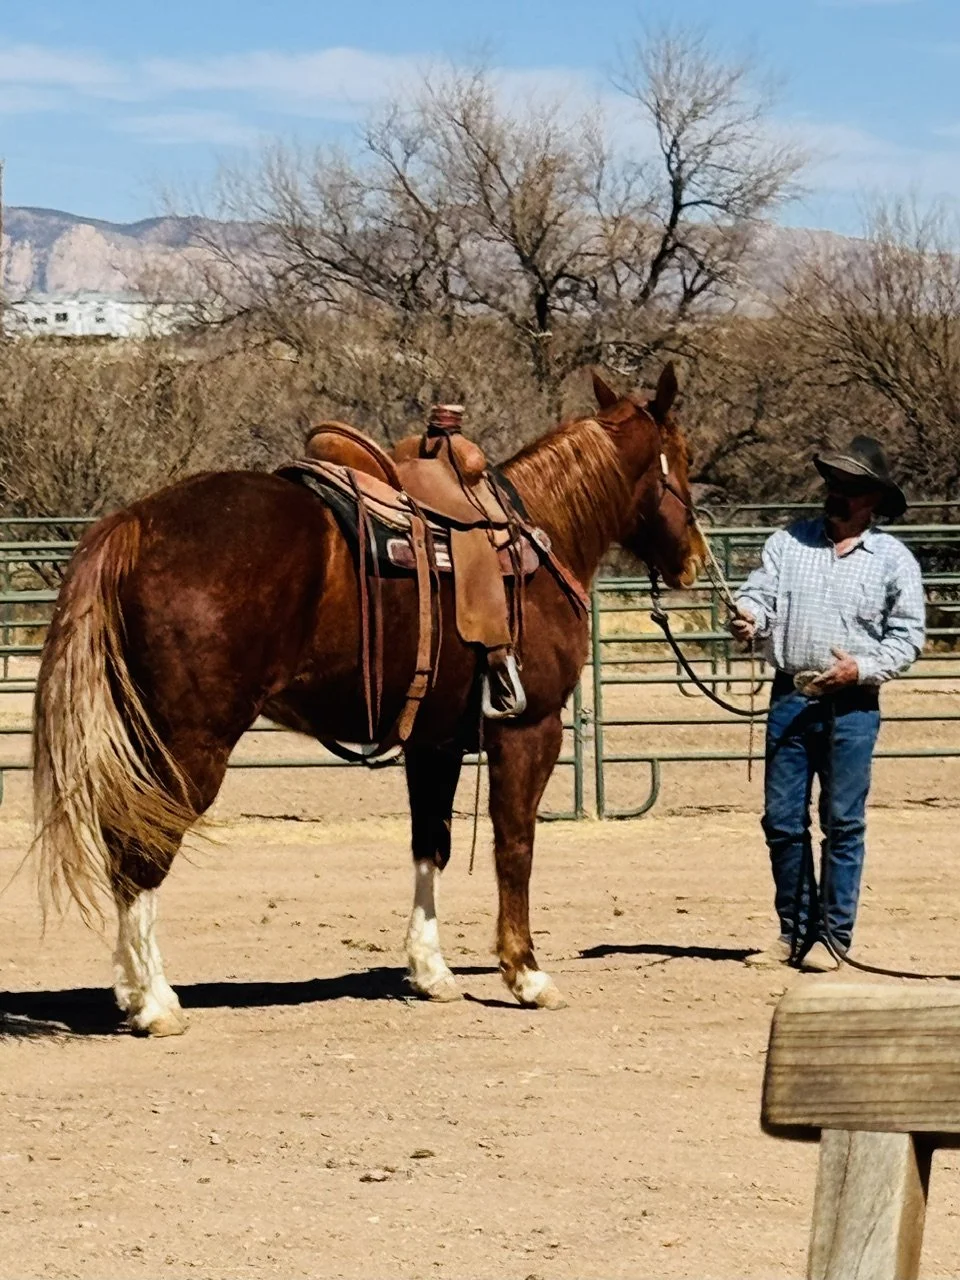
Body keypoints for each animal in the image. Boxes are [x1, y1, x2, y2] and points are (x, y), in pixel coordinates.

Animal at [32, 365, 705, 1036]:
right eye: (686, 456)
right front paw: (527, 974)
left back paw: (130, 991)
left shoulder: (435, 743)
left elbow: (431, 843)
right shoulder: (530, 730)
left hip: (147, 734)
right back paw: (154, 1002)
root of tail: (135, 522)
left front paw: (432, 972)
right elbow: (515, 845)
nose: (695, 560)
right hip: (191, 744)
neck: (540, 540)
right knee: (141, 848)